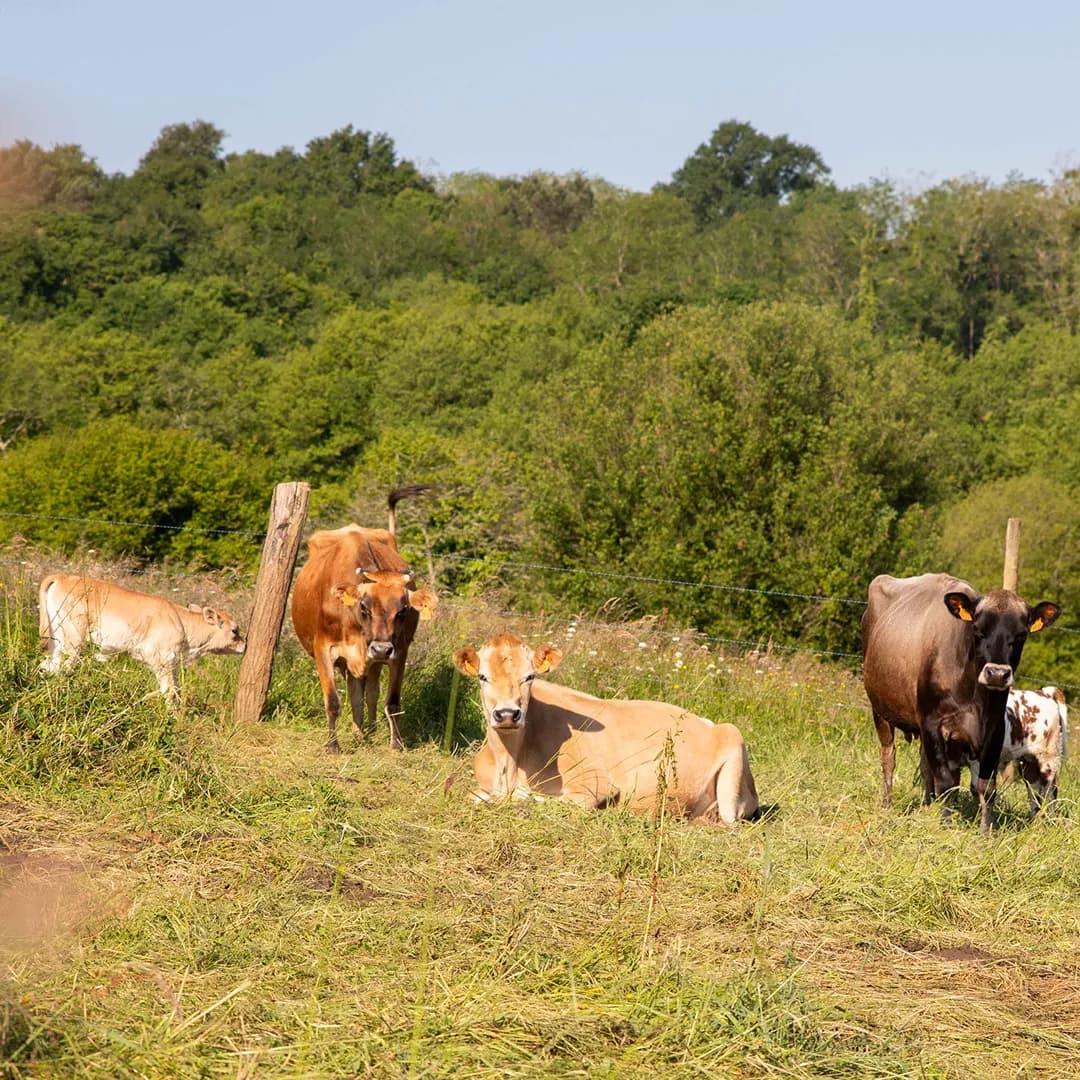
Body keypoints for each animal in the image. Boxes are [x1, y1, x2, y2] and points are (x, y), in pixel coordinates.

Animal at [39, 573, 245, 705]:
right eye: (235, 630)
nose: (245, 644)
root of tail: (64, 577)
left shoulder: (172, 664)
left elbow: (175, 690)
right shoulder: (163, 660)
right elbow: (169, 692)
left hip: (57, 639)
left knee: (48, 665)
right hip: (74, 638)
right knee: (64, 667)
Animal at [290, 487, 437, 752]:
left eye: (403, 611)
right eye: (364, 606)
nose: (380, 648)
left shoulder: (399, 651)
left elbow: (392, 702)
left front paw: (396, 744)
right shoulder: (323, 648)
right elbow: (333, 702)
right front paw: (333, 746)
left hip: (374, 661)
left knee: (368, 693)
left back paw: (367, 730)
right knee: (356, 693)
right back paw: (359, 734)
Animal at [452, 634, 761, 823]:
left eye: (529, 677)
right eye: (483, 677)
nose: (507, 714)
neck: (509, 762)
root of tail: (705, 721)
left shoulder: (594, 785)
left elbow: (533, 800)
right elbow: (473, 796)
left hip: (734, 752)